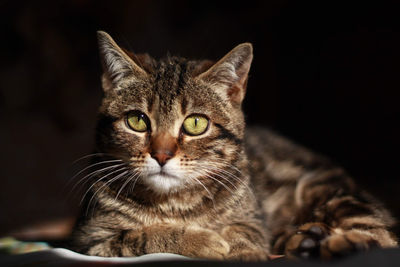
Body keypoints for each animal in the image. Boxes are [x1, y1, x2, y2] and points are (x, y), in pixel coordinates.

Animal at [69, 31, 396, 262]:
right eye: (137, 121)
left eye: (195, 123)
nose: (161, 154)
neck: (174, 204)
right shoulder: (93, 238)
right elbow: (141, 235)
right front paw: (202, 240)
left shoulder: (253, 221)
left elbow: (244, 233)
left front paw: (240, 250)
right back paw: (307, 240)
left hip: (331, 194)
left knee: (384, 238)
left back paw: (340, 243)